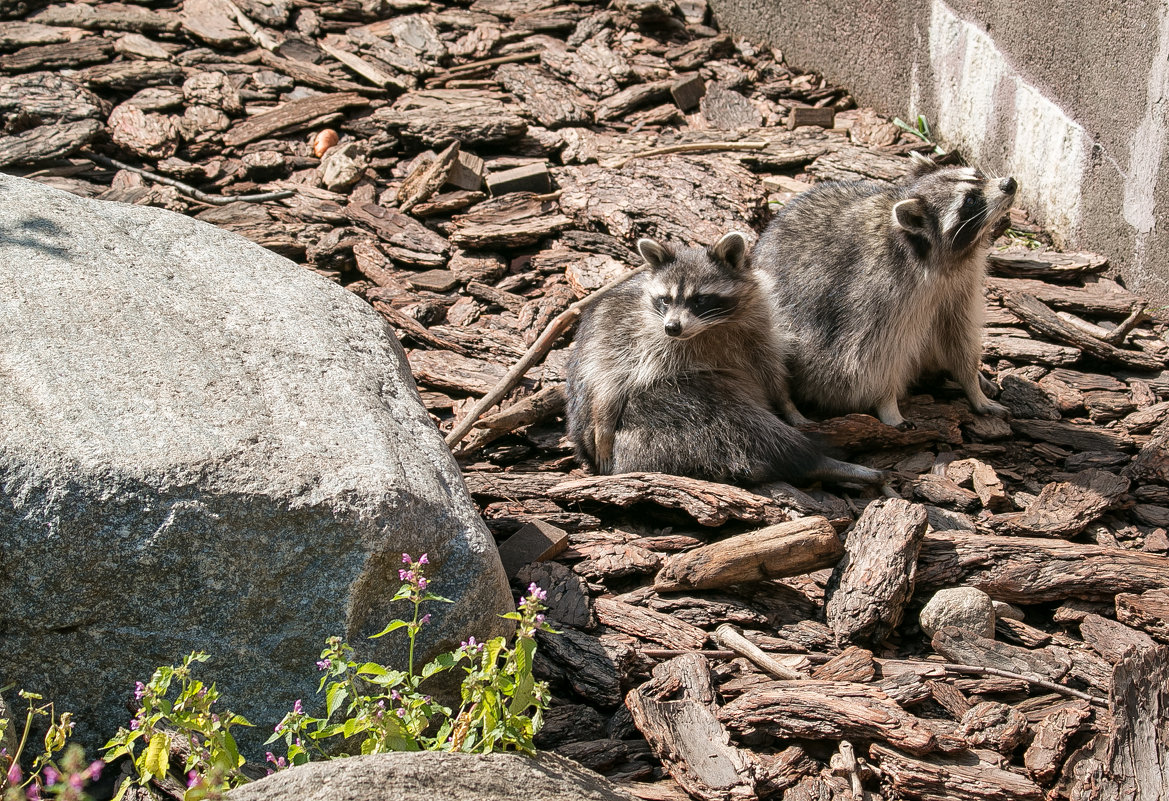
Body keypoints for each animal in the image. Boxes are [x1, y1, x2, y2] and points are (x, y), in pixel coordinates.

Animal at [565, 228, 883, 484]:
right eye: (665, 299)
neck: (708, 328)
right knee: (742, 421)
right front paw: (604, 424)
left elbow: (770, 367)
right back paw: (818, 460)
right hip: (666, 410)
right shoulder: (625, 330)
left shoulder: (759, 327)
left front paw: (788, 404)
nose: (672, 327)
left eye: (700, 300)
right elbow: (608, 375)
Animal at [752, 150, 1019, 425]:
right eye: (970, 201)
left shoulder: (960, 287)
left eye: (978, 175)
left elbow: (960, 338)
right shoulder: (878, 293)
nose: (1009, 183)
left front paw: (973, 385)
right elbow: (869, 359)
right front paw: (887, 402)